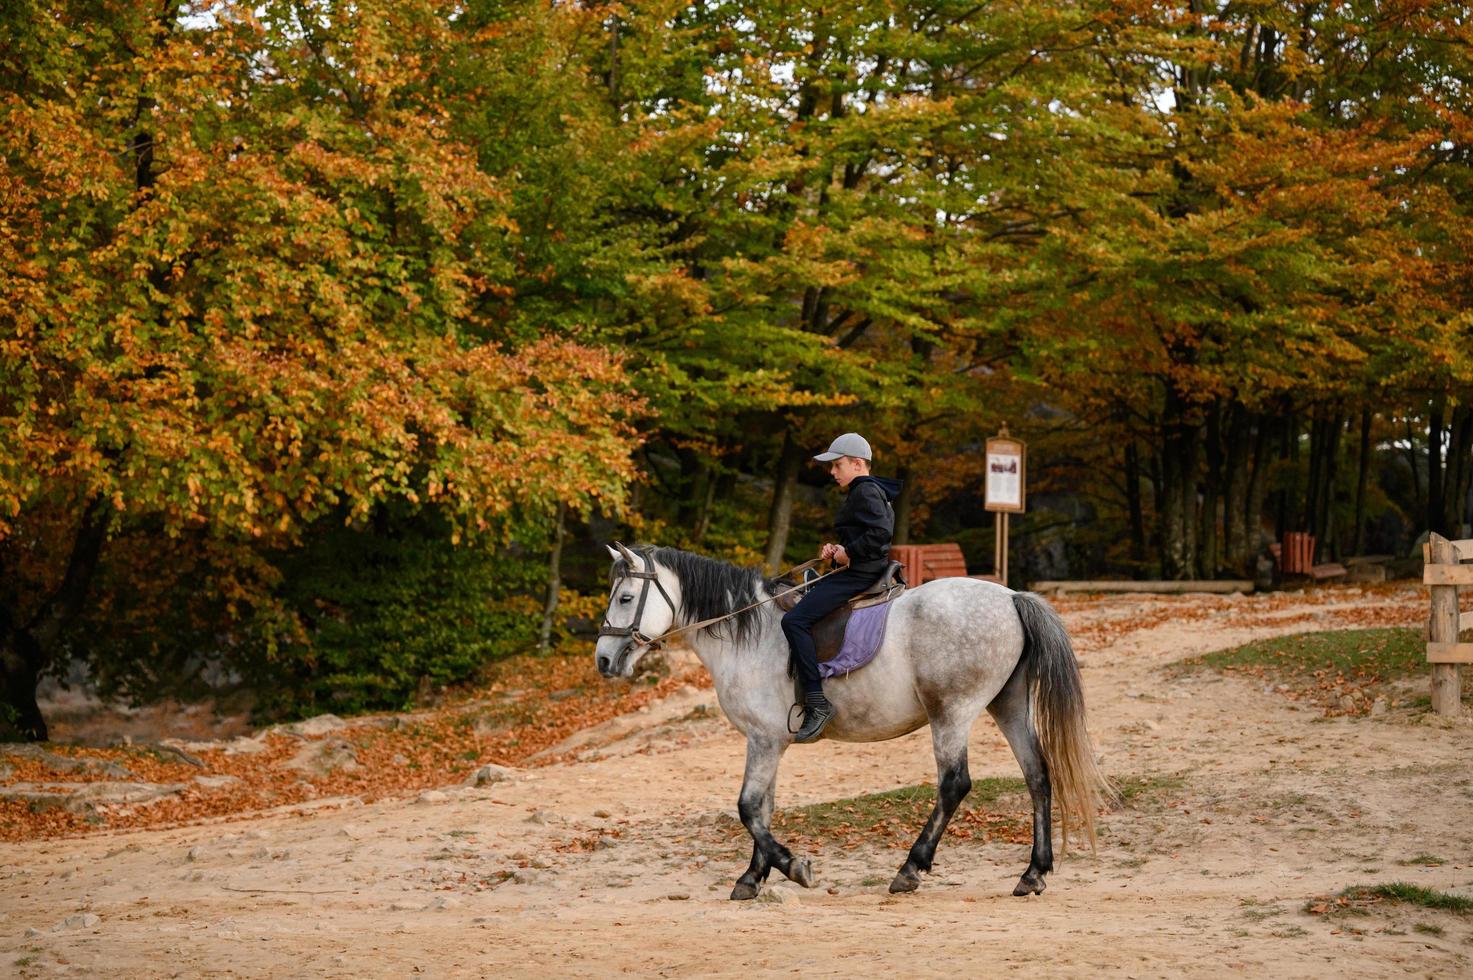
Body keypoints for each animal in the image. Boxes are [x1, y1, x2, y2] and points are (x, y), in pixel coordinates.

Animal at [592, 542, 1107, 896]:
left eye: (625, 598)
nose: (603, 660)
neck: (749, 632)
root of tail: (1011, 596)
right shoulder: (769, 742)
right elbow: (763, 808)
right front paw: (754, 877)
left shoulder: (763, 740)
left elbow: (748, 808)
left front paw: (792, 867)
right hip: (1008, 705)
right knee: (1038, 775)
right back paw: (1033, 873)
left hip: (951, 712)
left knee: (954, 784)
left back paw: (910, 868)